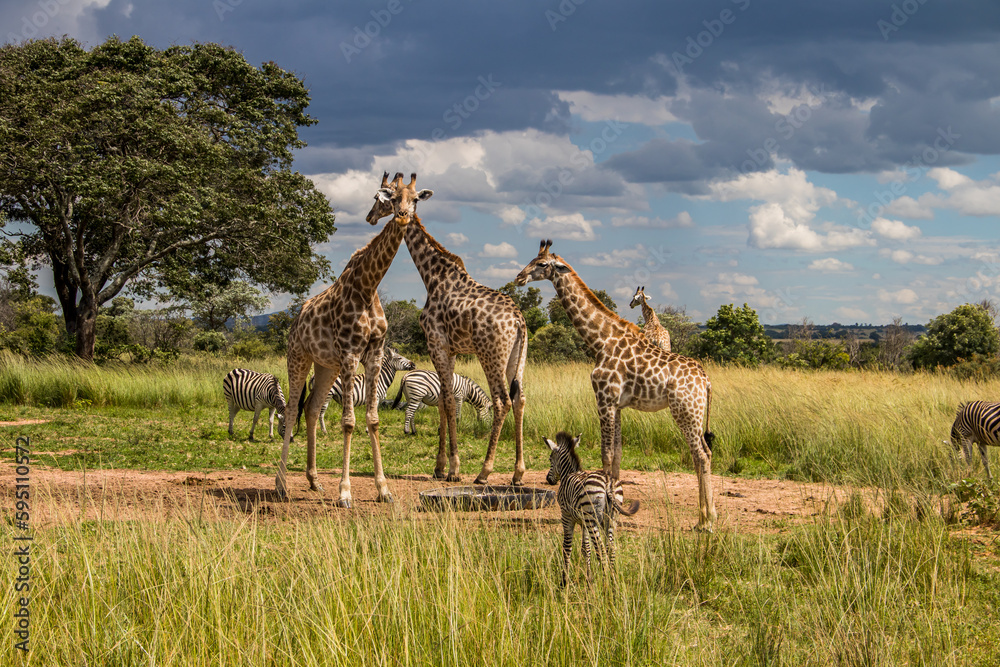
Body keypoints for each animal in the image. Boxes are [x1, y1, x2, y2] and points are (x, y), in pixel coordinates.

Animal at [275, 172, 426, 507]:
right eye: (389, 197)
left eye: (416, 199)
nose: (402, 216)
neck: (368, 287)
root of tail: (295, 320)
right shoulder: (349, 353)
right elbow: (348, 422)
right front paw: (345, 492)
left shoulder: (374, 354)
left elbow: (372, 419)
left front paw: (384, 489)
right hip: (299, 357)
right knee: (291, 409)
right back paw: (281, 485)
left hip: (325, 366)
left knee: (311, 408)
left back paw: (314, 480)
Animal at [372, 178, 528, 485]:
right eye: (394, 198)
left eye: (412, 199)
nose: (401, 215)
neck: (432, 277)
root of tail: (518, 321)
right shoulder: (451, 349)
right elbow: (445, 399)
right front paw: (440, 467)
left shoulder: (436, 343)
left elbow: (446, 400)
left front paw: (452, 469)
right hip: (518, 357)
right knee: (520, 400)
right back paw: (517, 473)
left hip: (490, 354)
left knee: (502, 401)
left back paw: (484, 472)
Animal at [516, 240, 716, 531]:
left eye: (541, 264)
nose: (519, 278)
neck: (601, 340)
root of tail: (706, 380)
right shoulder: (618, 405)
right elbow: (618, 454)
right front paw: (616, 504)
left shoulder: (604, 399)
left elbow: (606, 454)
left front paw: (609, 506)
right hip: (695, 413)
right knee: (704, 453)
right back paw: (704, 518)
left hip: (685, 411)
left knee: (701, 455)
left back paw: (707, 521)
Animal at [544, 431, 640, 587]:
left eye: (550, 459)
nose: (548, 480)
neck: (568, 474)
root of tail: (608, 482)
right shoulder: (583, 522)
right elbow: (585, 549)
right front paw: (589, 579)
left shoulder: (566, 516)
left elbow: (567, 547)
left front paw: (564, 581)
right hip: (611, 518)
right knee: (610, 548)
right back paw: (612, 579)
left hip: (592, 519)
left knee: (600, 548)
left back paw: (606, 581)